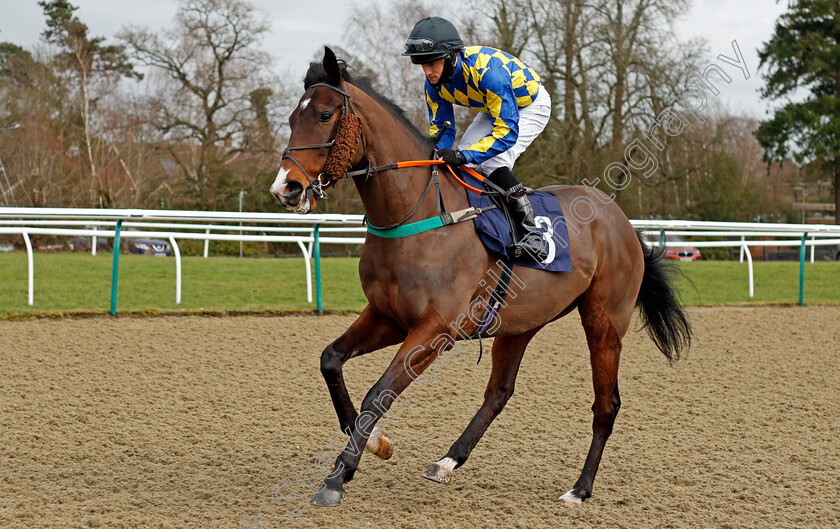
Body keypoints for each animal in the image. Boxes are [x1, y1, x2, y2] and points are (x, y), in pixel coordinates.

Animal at [270, 49, 688, 508]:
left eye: (325, 114)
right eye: (291, 117)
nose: (286, 188)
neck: (416, 215)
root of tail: (622, 220)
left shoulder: (437, 329)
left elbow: (378, 392)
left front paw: (337, 476)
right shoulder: (387, 317)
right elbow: (330, 360)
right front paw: (376, 443)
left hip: (604, 320)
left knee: (606, 404)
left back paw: (579, 488)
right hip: (520, 323)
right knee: (499, 392)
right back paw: (447, 461)